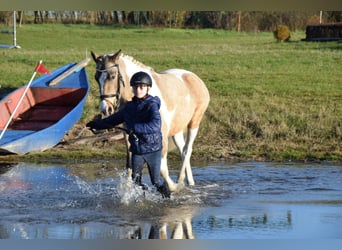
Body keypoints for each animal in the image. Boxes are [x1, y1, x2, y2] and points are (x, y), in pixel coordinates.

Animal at [89, 49, 210, 192]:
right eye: (96, 77)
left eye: (112, 76)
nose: (105, 108)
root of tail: (194, 77)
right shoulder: (128, 136)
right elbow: (130, 166)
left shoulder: (160, 136)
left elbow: (162, 168)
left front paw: (172, 187)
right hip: (177, 129)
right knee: (182, 150)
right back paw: (189, 182)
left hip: (194, 122)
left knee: (187, 150)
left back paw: (180, 182)